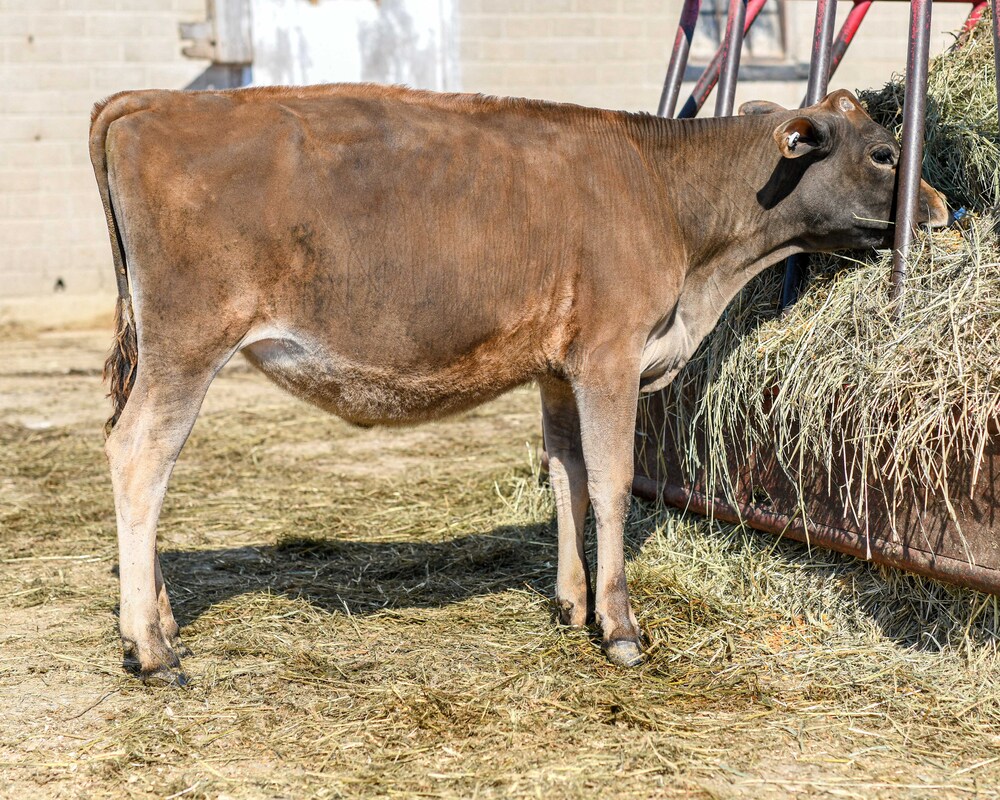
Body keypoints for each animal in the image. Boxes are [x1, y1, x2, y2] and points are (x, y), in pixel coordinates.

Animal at [89, 84, 948, 685]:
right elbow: (612, 483)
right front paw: (621, 627)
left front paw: (571, 603)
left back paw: (161, 621)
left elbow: (566, 476)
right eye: (884, 153)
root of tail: (152, 101)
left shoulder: (558, 368)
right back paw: (150, 648)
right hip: (187, 342)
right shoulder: (609, 354)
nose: (940, 208)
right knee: (139, 457)